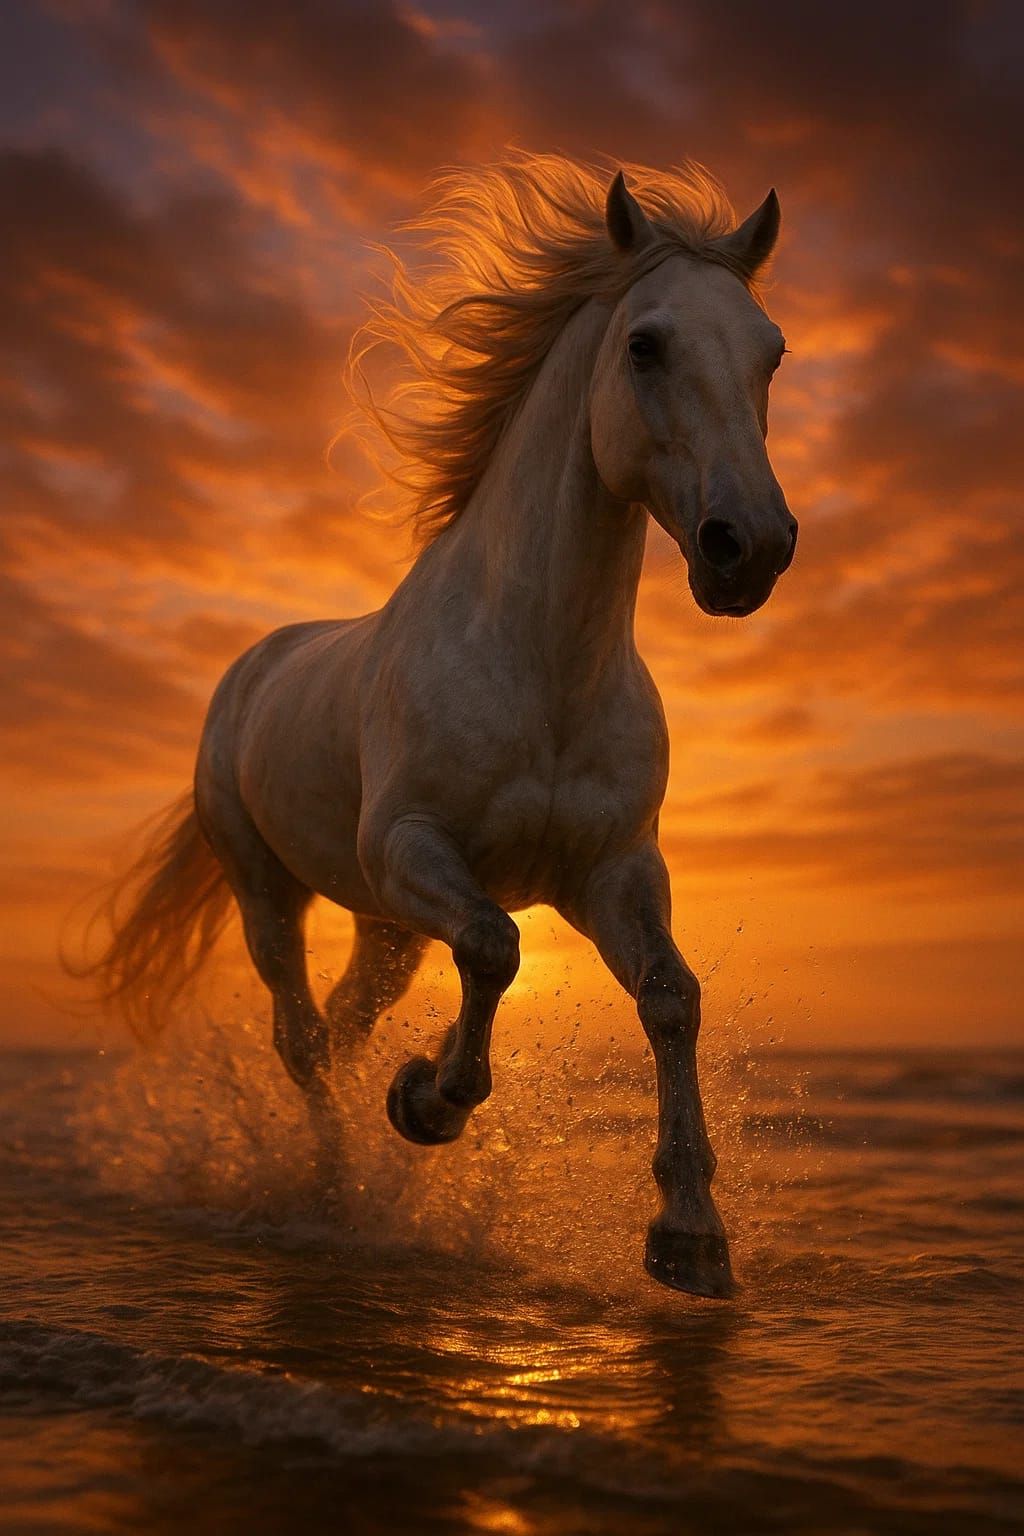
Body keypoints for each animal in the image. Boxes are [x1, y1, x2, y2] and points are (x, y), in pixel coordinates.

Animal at [88, 154, 796, 1299]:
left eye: (771, 353)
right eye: (644, 344)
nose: (752, 547)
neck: (543, 669)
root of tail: (254, 666)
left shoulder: (613, 872)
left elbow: (670, 996)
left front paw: (691, 1236)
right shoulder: (413, 847)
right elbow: (498, 946)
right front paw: (426, 1103)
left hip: (384, 924)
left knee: (341, 1022)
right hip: (270, 891)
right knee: (303, 1038)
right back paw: (333, 1193)